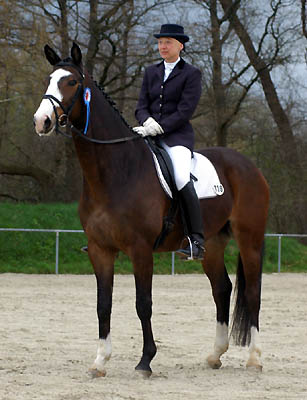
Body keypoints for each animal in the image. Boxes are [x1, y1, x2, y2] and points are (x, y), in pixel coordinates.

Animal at [34, 43, 270, 378]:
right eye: (49, 79)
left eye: (71, 82)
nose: (41, 121)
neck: (115, 172)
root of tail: (248, 165)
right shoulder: (100, 250)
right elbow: (103, 304)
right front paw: (100, 361)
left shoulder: (140, 249)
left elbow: (142, 303)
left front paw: (145, 361)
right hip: (211, 244)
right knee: (222, 289)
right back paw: (215, 355)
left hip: (250, 239)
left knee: (253, 293)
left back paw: (254, 359)